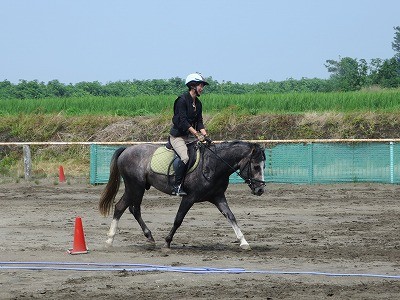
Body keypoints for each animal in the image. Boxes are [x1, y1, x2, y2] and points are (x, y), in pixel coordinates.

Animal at [98, 141, 266, 251]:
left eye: (264, 166)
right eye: (256, 166)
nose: (260, 190)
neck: (214, 164)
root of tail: (127, 149)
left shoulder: (218, 197)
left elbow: (231, 216)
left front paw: (243, 242)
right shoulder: (189, 198)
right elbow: (178, 219)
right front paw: (167, 242)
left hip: (136, 188)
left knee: (133, 209)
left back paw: (148, 237)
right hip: (135, 187)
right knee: (122, 207)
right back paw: (109, 240)